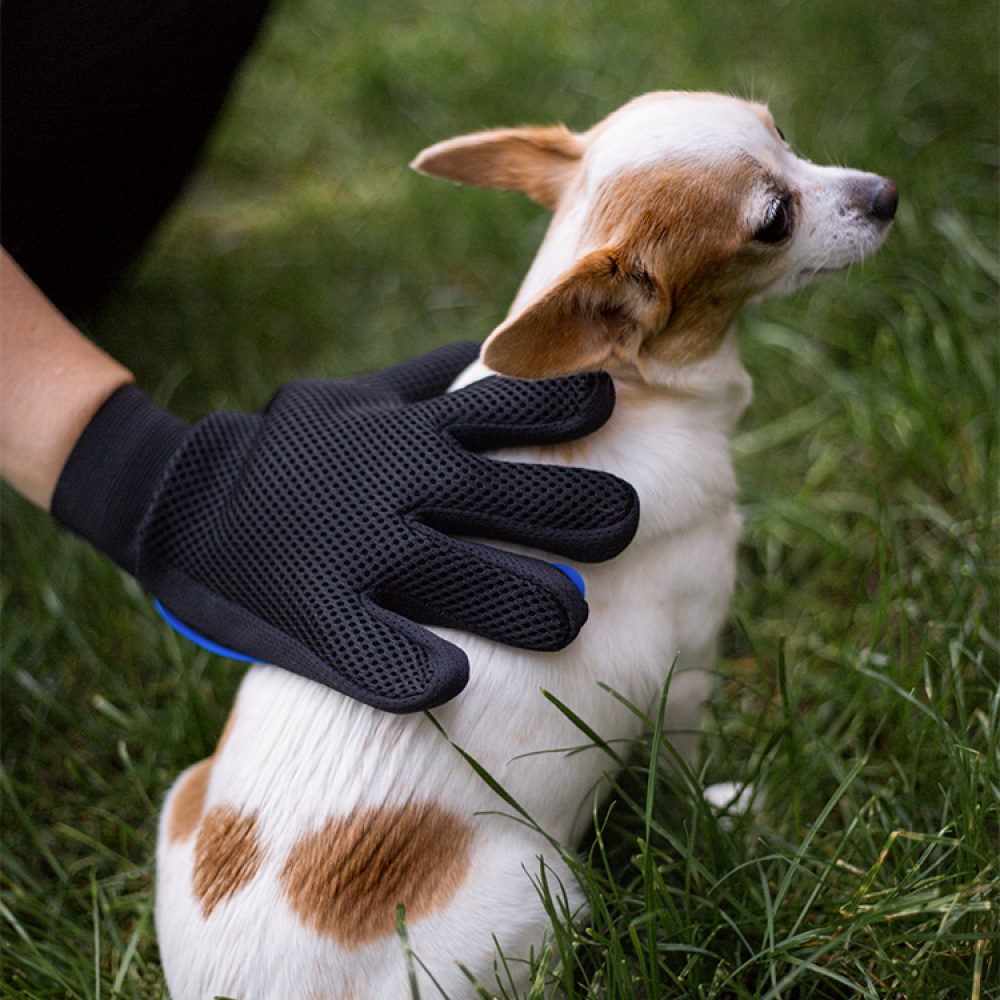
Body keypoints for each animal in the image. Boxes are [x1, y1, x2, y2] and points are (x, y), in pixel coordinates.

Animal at [158, 90, 900, 996]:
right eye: (775, 220)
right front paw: (725, 812)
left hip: (184, 795)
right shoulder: (686, 668)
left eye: (783, 133)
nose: (887, 194)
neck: (628, 378)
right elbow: (685, 775)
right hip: (548, 891)